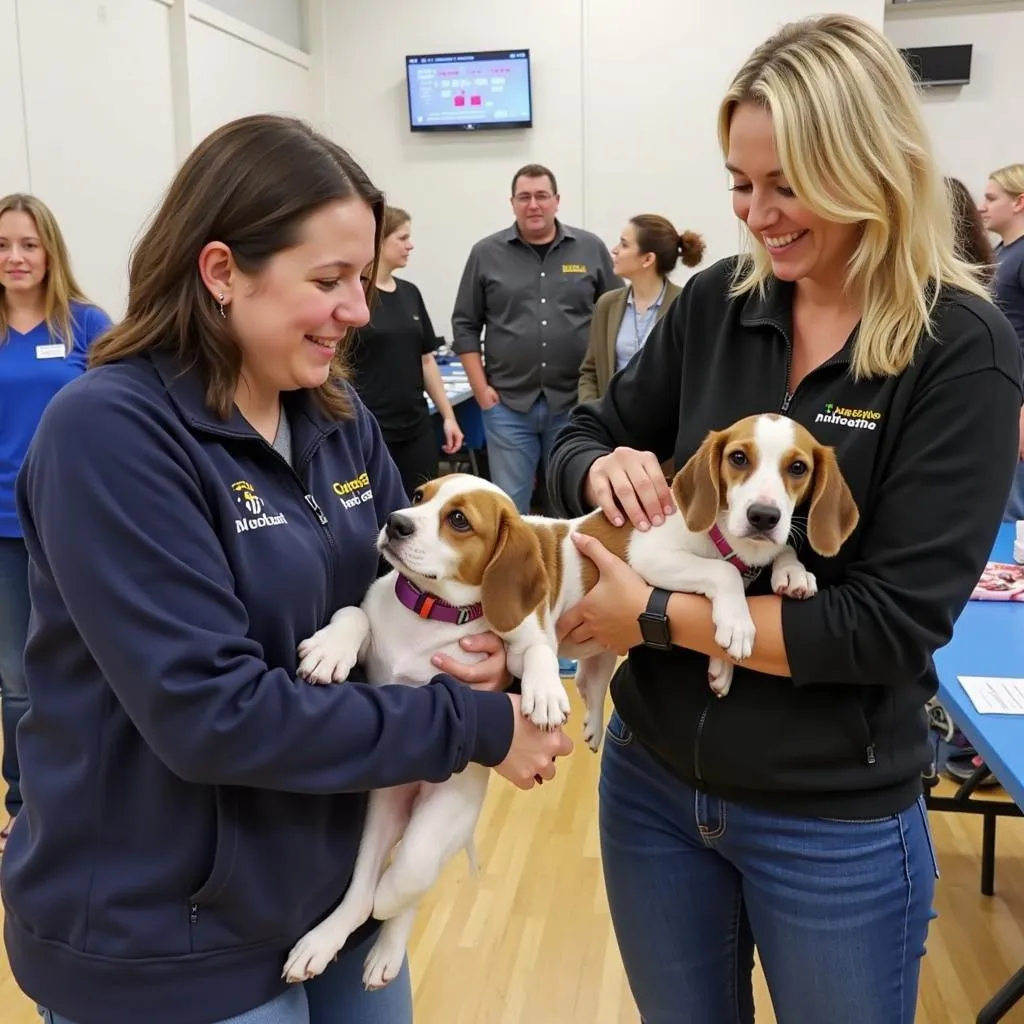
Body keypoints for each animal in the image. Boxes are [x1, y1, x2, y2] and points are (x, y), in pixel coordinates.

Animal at [278, 411, 856, 987]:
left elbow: (544, 647)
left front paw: (776, 589)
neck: (430, 612)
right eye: (419, 497)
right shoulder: (652, 558)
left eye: (458, 520)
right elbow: (352, 613)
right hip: (382, 816)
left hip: (444, 816)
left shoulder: (538, 627)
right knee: (365, 892)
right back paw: (330, 938)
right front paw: (328, 650)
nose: (396, 522)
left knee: (410, 878)